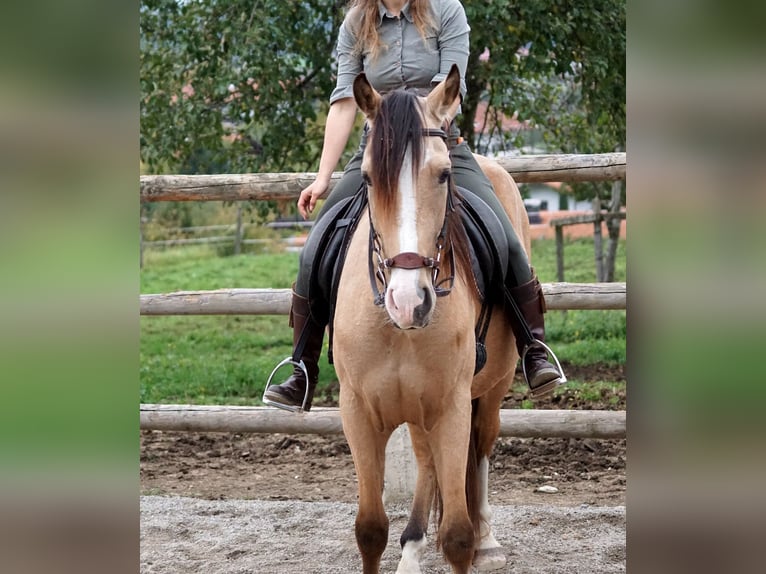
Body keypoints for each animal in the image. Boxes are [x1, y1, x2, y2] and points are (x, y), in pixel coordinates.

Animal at [332, 65, 531, 574]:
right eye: (367, 178)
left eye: (443, 175)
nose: (409, 303)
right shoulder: (358, 411)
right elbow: (370, 529)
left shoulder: (452, 406)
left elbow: (458, 534)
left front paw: (470, 542)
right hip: (419, 411)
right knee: (425, 465)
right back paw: (413, 548)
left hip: (489, 395)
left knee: (479, 452)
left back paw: (488, 541)